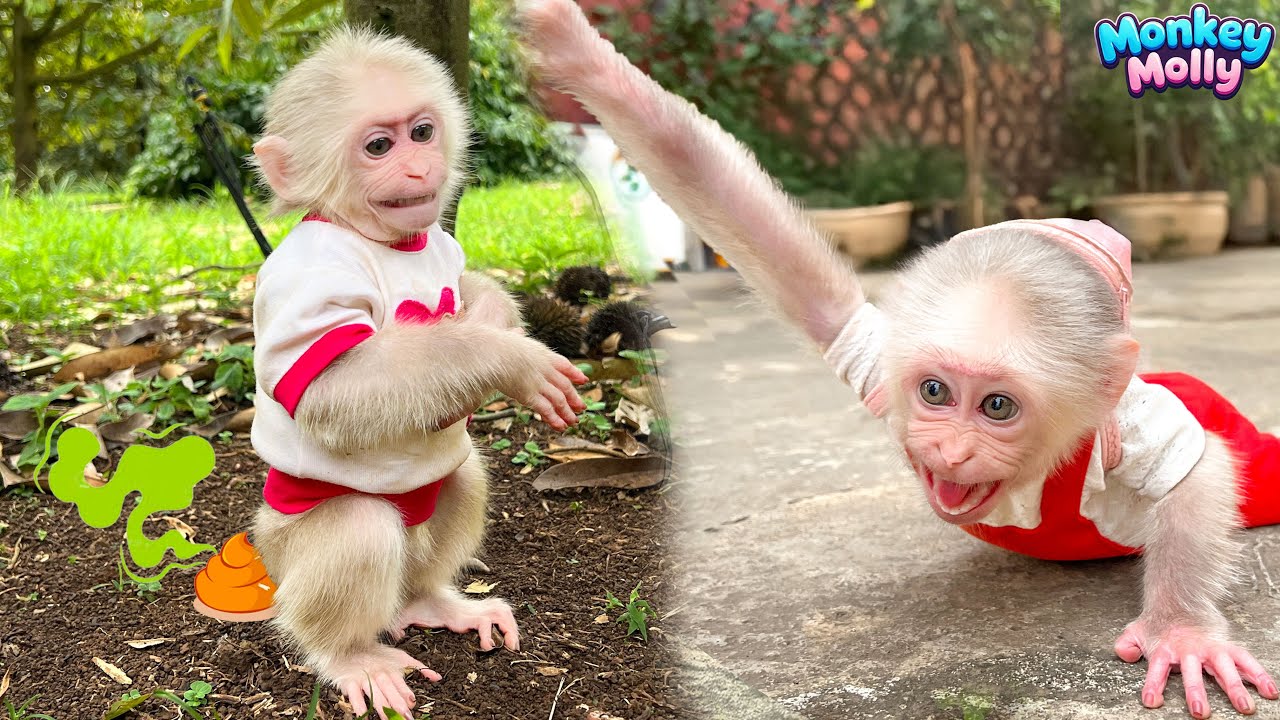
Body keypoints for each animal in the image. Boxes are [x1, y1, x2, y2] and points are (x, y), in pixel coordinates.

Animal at [243, 26, 588, 720]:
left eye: (422, 132)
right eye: (379, 145)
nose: (419, 167)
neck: (379, 237)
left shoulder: (443, 244)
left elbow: (470, 283)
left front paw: (490, 320)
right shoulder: (310, 275)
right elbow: (336, 388)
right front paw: (508, 359)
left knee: (462, 474)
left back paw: (431, 599)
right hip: (284, 546)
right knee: (363, 529)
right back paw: (350, 654)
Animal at [512, 2, 1280, 718]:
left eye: (996, 406)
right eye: (934, 392)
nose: (948, 447)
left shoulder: (1130, 423)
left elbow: (1194, 474)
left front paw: (1181, 630)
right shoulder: (877, 354)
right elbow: (776, 251)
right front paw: (578, 55)